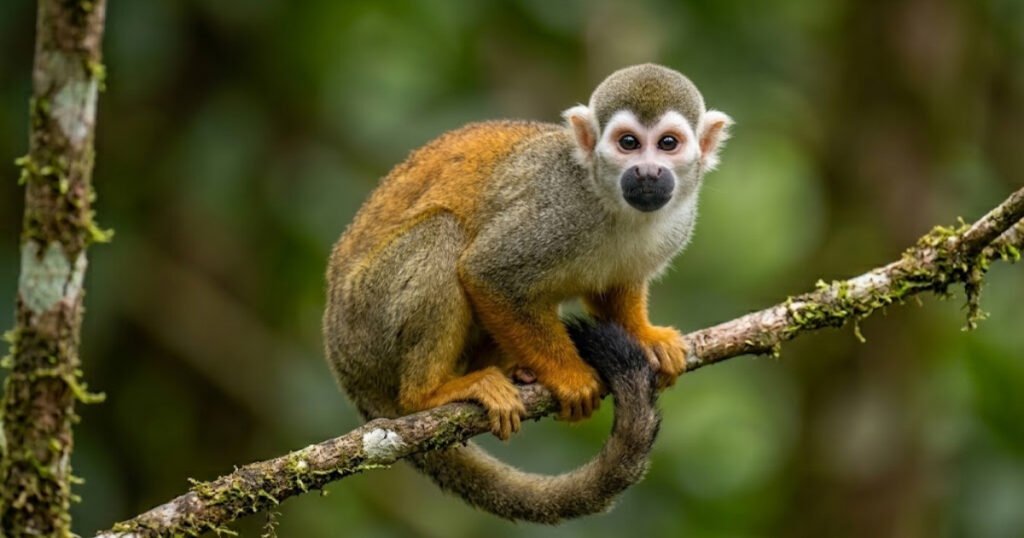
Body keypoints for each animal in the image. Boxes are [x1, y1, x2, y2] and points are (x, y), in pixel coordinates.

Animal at [323, 63, 732, 522]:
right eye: (628, 143)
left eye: (667, 144)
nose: (647, 172)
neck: (608, 200)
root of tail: (343, 362)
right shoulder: (554, 212)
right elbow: (486, 273)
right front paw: (569, 377)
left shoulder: (677, 223)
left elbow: (613, 290)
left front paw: (644, 337)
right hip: (366, 317)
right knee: (442, 232)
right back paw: (429, 393)